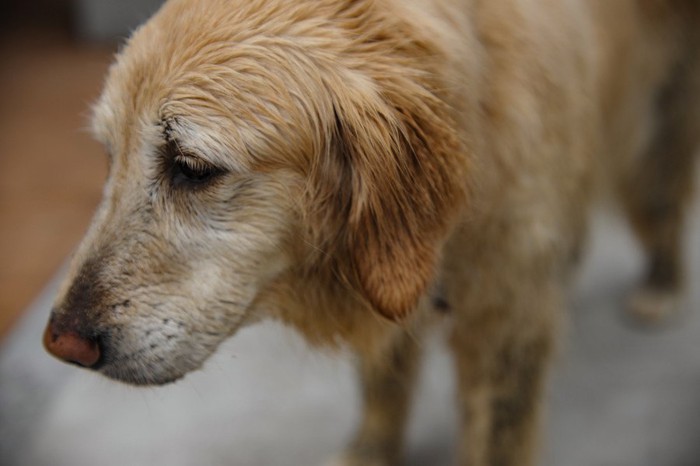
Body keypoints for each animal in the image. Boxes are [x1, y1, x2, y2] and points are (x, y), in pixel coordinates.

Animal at [42, 0, 700, 464]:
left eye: (193, 168)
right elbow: (383, 382)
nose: (59, 345)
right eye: (110, 156)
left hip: (652, 141)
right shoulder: (380, 274)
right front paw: (370, 452)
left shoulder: (505, 328)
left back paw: (661, 283)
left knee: (662, 207)